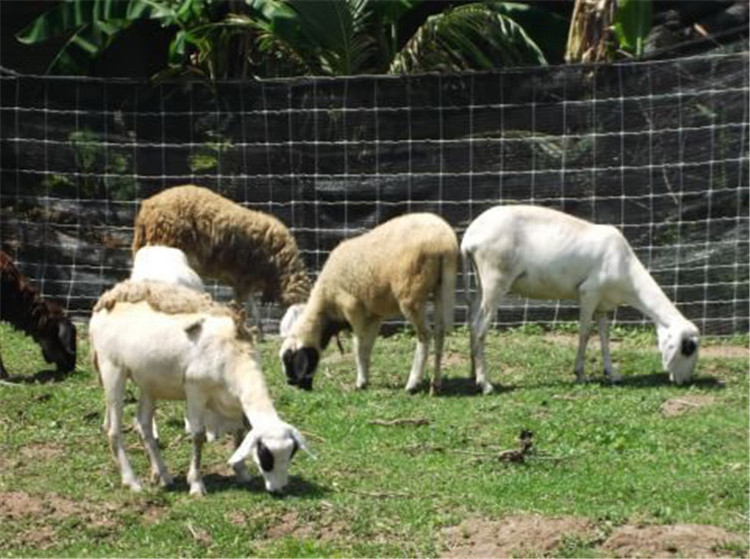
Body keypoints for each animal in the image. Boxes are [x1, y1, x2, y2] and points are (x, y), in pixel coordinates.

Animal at [90, 282, 308, 496]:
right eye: (266, 455)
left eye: (290, 454)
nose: (280, 490)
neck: (235, 354)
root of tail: (105, 302)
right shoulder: (195, 390)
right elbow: (198, 435)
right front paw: (196, 484)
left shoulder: (233, 400)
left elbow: (239, 431)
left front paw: (241, 470)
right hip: (112, 368)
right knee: (114, 431)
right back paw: (132, 481)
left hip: (149, 382)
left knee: (143, 426)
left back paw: (163, 475)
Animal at [132, 186, 312, 330]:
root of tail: (147, 208)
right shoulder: (244, 276)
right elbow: (239, 303)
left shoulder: (244, 279)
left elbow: (251, 305)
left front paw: (259, 330)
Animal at [280, 212, 458, 396]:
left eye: (290, 359)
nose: (292, 384)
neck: (326, 307)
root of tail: (444, 241)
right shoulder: (374, 315)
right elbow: (368, 347)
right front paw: (365, 378)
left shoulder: (354, 309)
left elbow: (358, 346)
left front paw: (361, 382)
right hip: (441, 287)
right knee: (440, 333)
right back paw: (435, 385)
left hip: (410, 295)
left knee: (425, 335)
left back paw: (413, 383)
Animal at [462, 206, 704, 394]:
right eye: (688, 348)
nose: (685, 382)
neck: (624, 265)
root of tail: (469, 238)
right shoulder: (589, 293)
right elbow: (585, 333)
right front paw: (580, 374)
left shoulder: (603, 305)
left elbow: (605, 337)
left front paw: (612, 373)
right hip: (496, 281)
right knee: (480, 327)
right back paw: (485, 384)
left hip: (480, 284)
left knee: (472, 324)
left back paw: (474, 374)